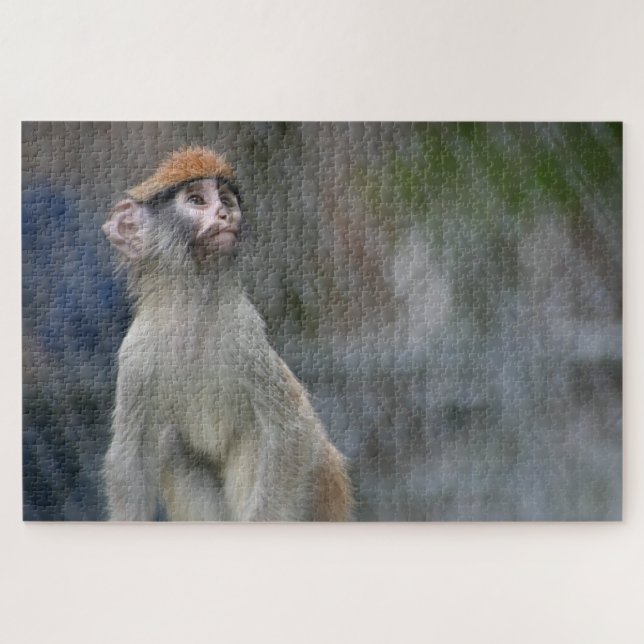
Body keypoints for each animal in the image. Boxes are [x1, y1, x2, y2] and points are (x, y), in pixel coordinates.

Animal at [102, 147, 353, 521]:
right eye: (196, 200)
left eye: (225, 200)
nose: (223, 214)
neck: (192, 308)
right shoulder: (136, 354)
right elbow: (130, 461)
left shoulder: (243, 334)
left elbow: (291, 434)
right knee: (171, 444)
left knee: (256, 434)